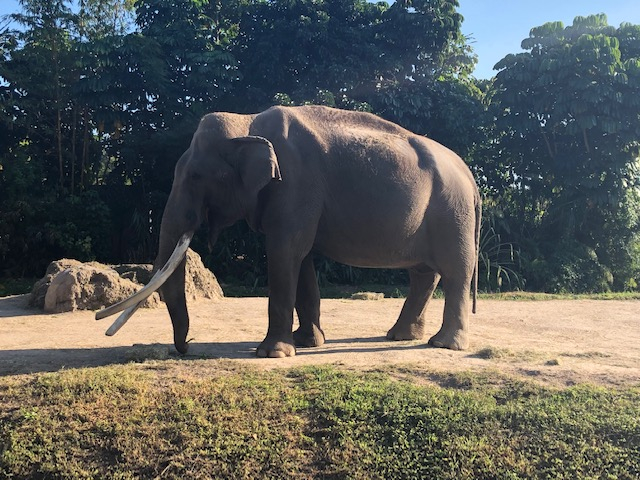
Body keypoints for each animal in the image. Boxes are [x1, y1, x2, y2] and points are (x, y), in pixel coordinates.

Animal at [96, 106, 480, 360]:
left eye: (194, 177)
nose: (186, 348)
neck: (247, 121)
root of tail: (470, 176)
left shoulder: (295, 185)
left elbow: (285, 252)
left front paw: (272, 353)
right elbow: (302, 257)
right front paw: (308, 342)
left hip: (453, 212)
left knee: (454, 273)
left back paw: (442, 344)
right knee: (424, 274)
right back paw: (400, 336)